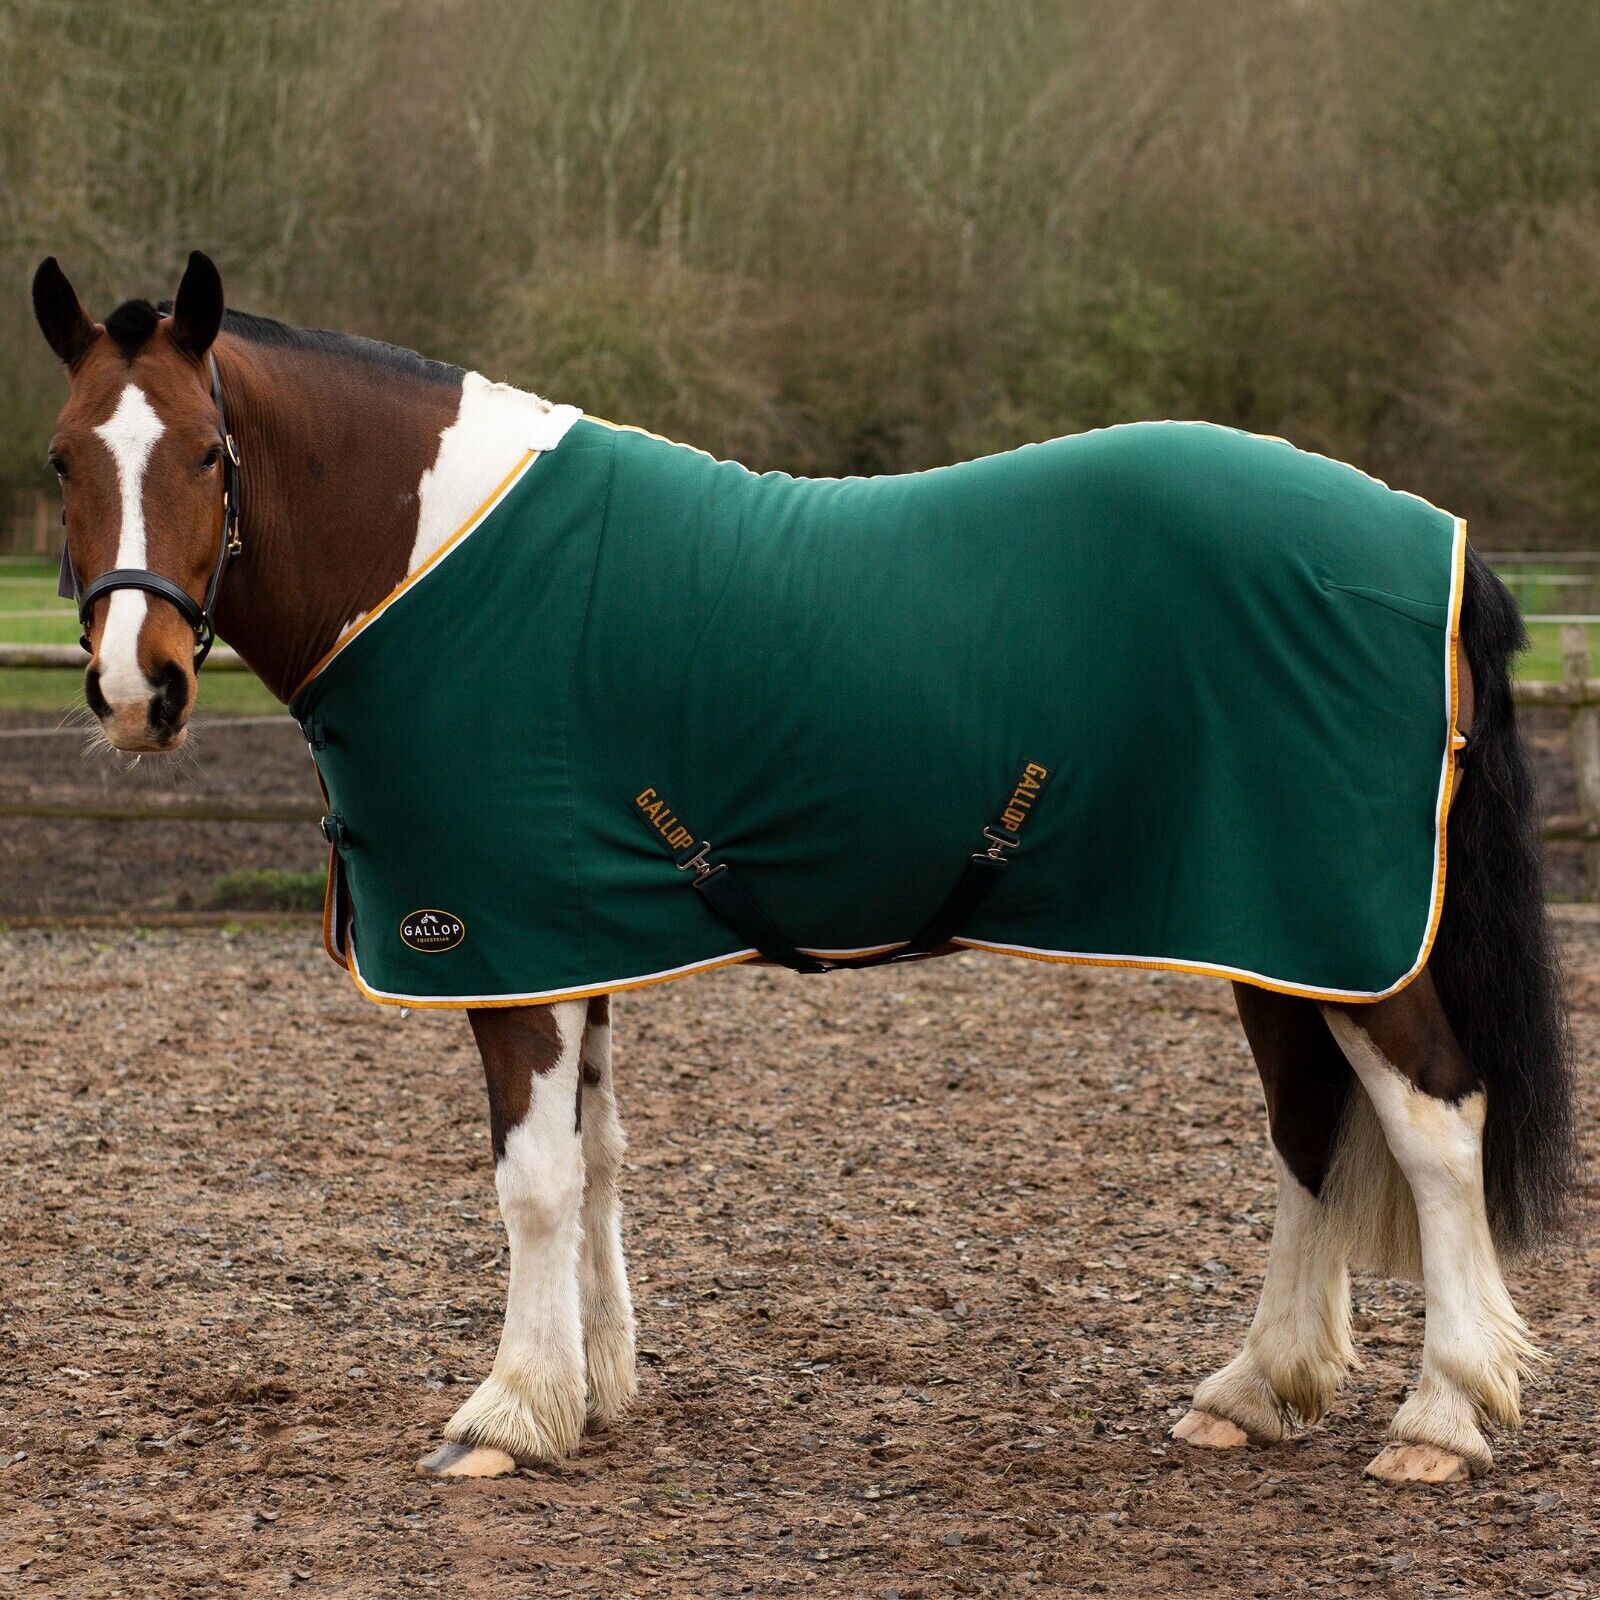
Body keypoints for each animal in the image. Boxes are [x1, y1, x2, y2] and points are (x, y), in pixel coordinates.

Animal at [31, 251, 1574, 1486]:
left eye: (208, 456)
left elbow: (534, 1179)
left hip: (1342, 925)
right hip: (1265, 926)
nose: (136, 688)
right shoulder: (582, 930)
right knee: (1311, 1129)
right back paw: (1255, 1392)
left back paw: (1441, 1418)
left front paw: (509, 1413)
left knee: (1434, 1124)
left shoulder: (505, 943)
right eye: (60, 459)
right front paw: (597, 1388)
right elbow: (600, 1157)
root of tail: (1430, 543)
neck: (430, 559)